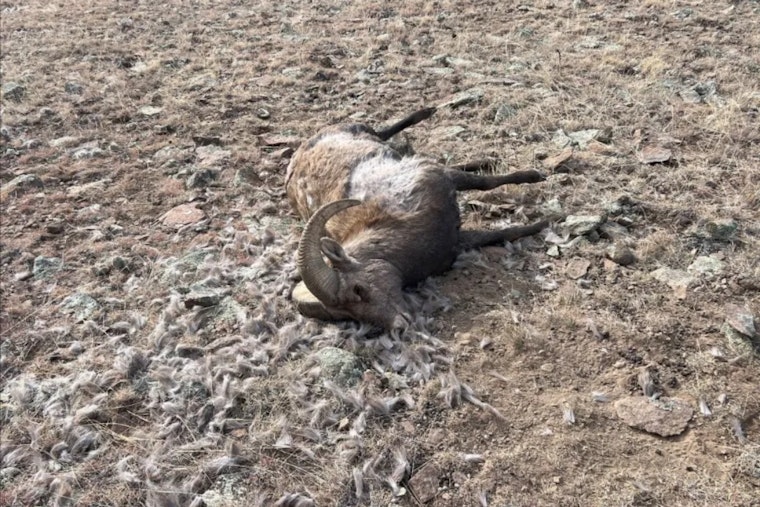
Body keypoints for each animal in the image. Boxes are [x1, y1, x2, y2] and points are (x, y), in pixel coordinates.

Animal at [285, 107, 548, 331]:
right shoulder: (457, 240)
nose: (398, 327)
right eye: (346, 315)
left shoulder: (442, 179)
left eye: (358, 289)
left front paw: (536, 179)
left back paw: (428, 112)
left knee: (384, 131)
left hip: (359, 130)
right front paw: (541, 223)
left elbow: (486, 183)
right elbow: (503, 233)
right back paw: (483, 158)